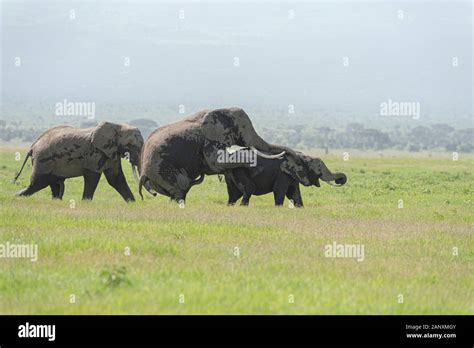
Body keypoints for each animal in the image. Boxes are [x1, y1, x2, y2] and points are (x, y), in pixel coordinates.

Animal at [14, 121, 144, 201]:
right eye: (130, 145)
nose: (142, 199)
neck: (118, 126)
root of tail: (32, 146)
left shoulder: (112, 153)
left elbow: (116, 179)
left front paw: (132, 204)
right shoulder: (95, 153)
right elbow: (93, 177)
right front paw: (86, 202)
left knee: (53, 183)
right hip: (43, 160)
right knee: (38, 183)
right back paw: (16, 197)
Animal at [139, 107, 298, 203]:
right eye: (243, 128)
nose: (285, 155)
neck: (223, 110)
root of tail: (143, 174)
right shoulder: (209, 139)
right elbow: (216, 162)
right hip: (160, 168)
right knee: (181, 184)